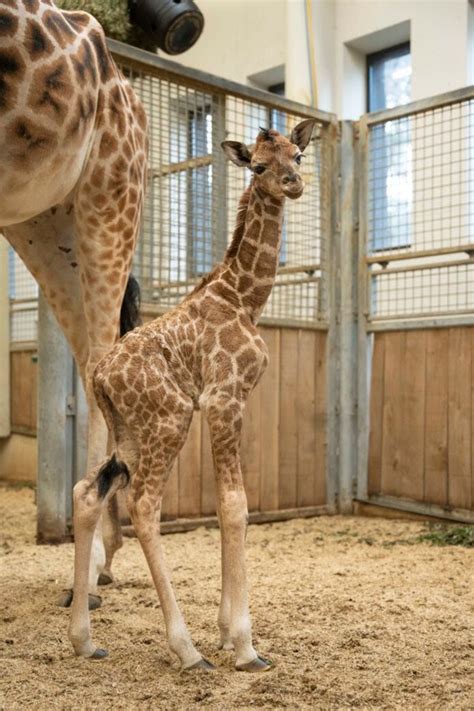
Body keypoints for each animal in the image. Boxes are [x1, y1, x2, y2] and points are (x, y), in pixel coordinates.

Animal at [68, 119, 316, 671]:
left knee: (88, 491)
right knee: (143, 504)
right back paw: (186, 650)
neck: (245, 298)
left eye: (298, 154)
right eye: (257, 166)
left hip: (130, 430)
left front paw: (226, 633)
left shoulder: (219, 404)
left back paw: (84, 639)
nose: (292, 184)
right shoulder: (224, 398)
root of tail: (100, 375)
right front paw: (243, 646)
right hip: (167, 417)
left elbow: (226, 507)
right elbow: (234, 504)